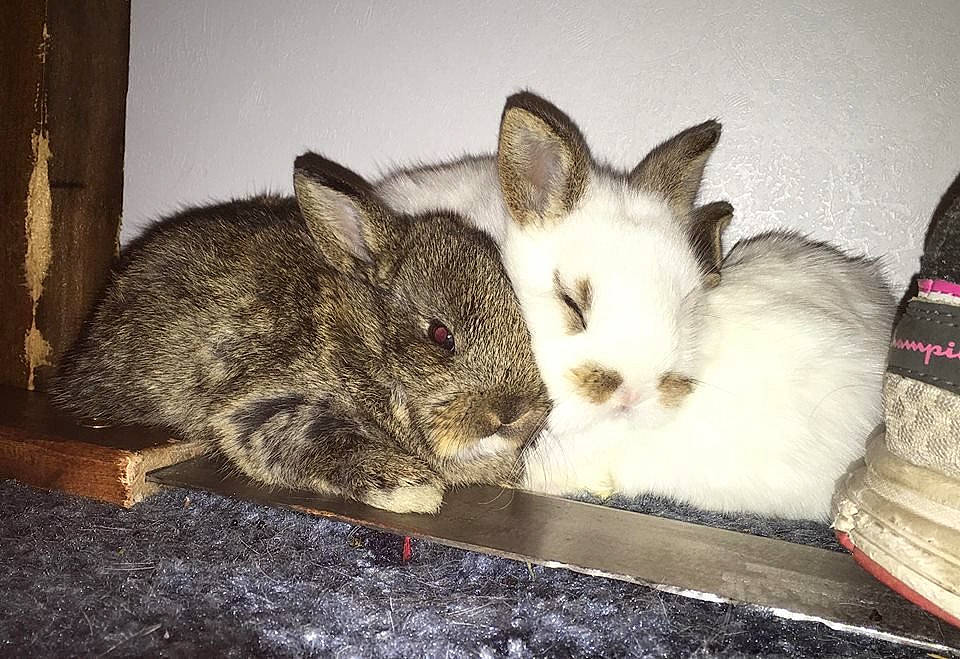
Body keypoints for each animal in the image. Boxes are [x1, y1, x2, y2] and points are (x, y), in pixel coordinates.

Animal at [51, 152, 551, 514]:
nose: (515, 415)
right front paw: (413, 491)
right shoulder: (260, 404)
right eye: (441, 335)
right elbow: (321, 439)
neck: (364, 337)